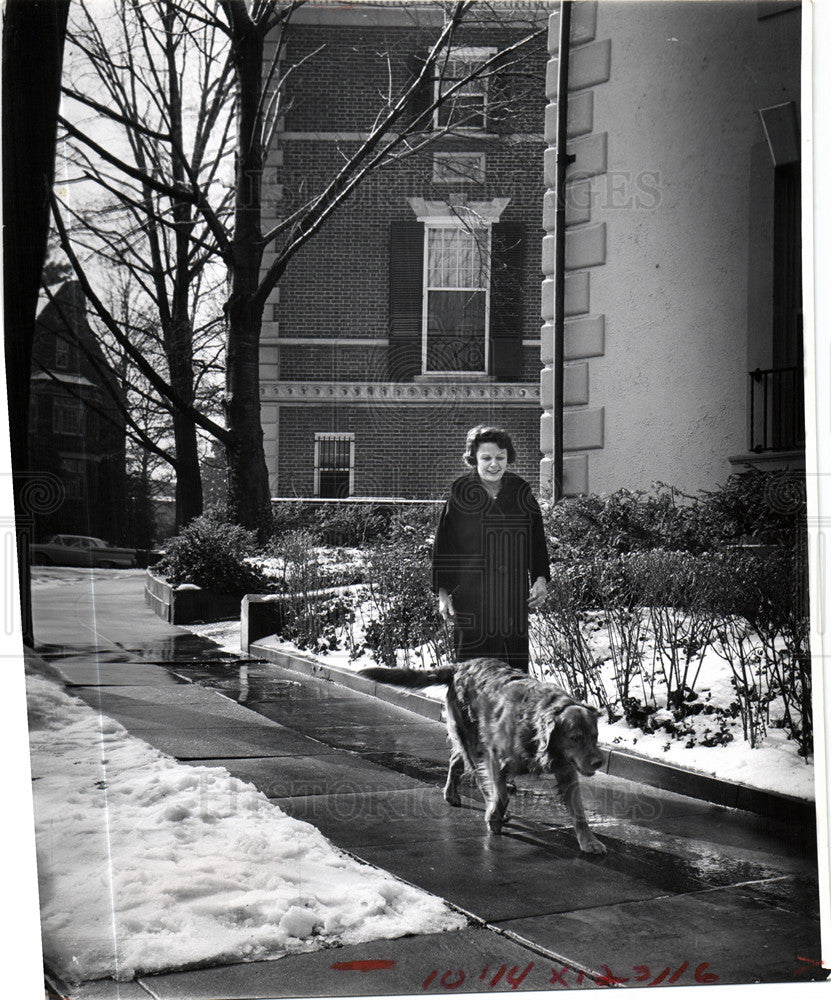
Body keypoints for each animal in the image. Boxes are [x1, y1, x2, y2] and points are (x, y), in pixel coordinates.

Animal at [358, 660, 604, 856]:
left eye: (595, 736)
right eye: (575, 737)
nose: (598, 762)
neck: (534, 725)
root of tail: (460, 666)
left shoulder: (566, 768)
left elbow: (578, 810)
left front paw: (589, 841)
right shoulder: (495, 757)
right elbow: (499, 794)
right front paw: (494, 815)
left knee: (456, 761)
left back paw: (452, 793)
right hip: (473, 740)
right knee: (479, 779)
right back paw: (488, 808)